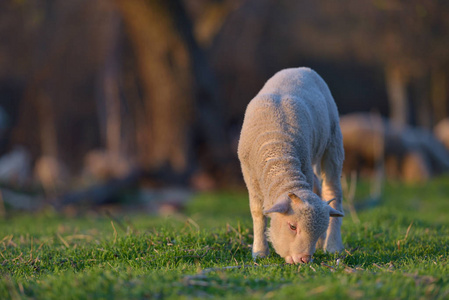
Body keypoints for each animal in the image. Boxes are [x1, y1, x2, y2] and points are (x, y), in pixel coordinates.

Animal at [238, 67, 344, 264]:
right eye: (292, 227)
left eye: (318, 230)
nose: (304, 259)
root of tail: (300, 69)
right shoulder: (249, 176)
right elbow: (257, 212)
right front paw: (259, 252)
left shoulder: (305, 165)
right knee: (318, 188)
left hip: (333, 142)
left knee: (333, 191)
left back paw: (333, 246)